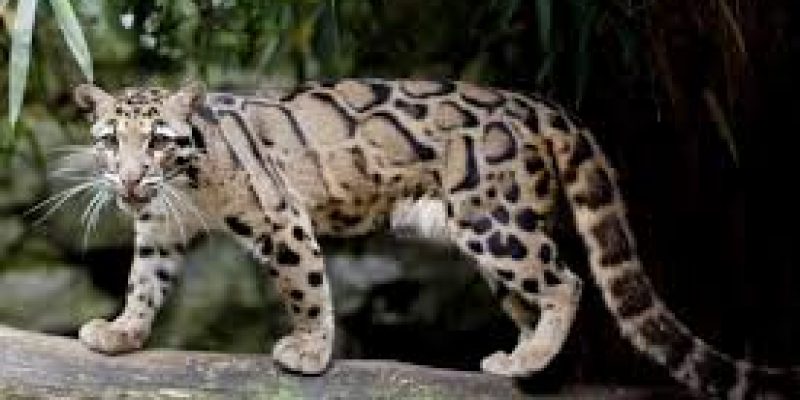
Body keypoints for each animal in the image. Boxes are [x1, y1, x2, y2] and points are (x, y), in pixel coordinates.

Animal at [61, 79, 795, 399]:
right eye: (110, 142)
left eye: (159, 139)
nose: (129, 179)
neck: (182, 184)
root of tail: (541, 105)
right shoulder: (159, 231)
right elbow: (143, 284)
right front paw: (121, 332)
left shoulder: (281, 216)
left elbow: (306, 289)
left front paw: (311, 351)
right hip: (486, 232)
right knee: (532, 295)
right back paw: (521, 358)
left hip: (495, 222)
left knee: (566, 279)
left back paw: (534, 358)